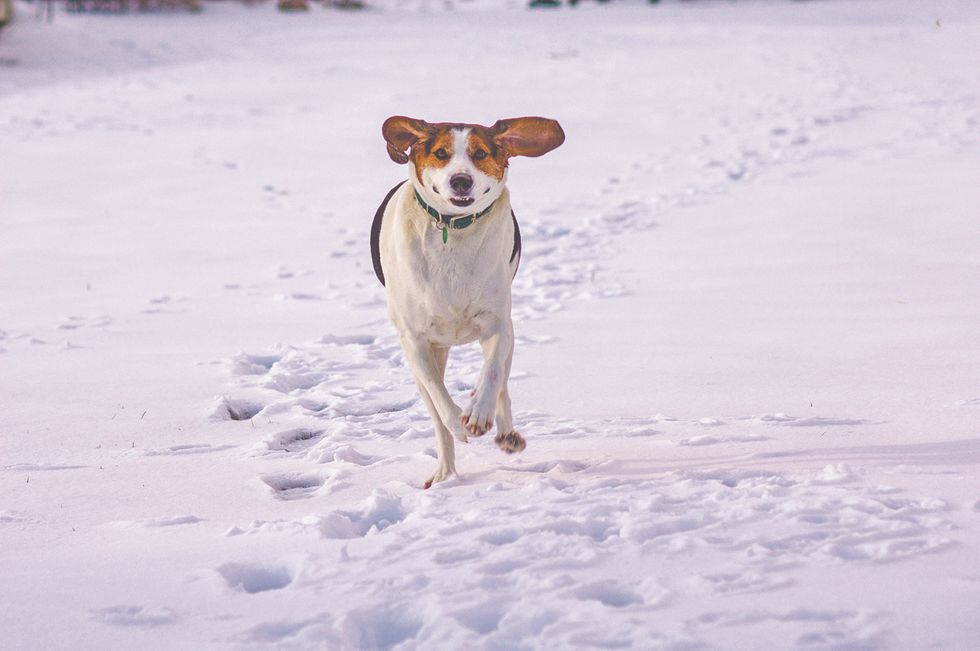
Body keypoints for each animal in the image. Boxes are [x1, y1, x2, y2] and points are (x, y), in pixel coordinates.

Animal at [370, 114, 568, 486]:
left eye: (479, 154)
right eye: (440, 153)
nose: (461, 181)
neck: (452, 229)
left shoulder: (498, 324)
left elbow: (492, 373)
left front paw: (478, 414)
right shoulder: (414, 339)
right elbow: (438, 394)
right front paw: (459, 424)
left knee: (501, 381)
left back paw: (504, 432)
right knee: (436, 413)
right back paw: (445, 473)